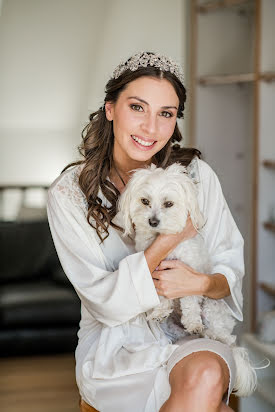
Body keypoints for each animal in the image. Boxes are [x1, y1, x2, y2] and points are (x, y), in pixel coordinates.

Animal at [116, 163, 258, 398]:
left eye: (168, 204)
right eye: (145, 201)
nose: (152, 221)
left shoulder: (188, 277)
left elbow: (189, 301)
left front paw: (192, 322)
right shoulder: (154, 273)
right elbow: (161, 297)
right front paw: (159, 311)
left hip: (213, 307)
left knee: (226, 337)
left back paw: (207, 333)